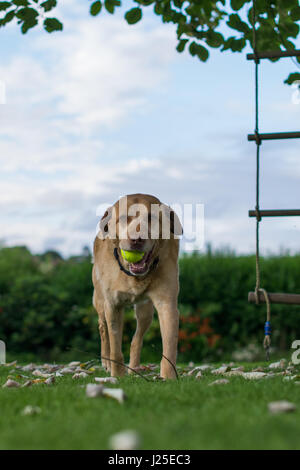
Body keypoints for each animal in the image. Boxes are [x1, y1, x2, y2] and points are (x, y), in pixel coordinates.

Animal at [91, 193, 182, 380]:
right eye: (123, 218)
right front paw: (117, 374)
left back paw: (134, 367)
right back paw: (106, 362)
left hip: (145, 311)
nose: (136, 240)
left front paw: (168, 376)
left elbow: (169, 345)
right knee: (103, 330)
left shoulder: (167, 304)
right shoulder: (113, 305)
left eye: (152, 218)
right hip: (100, 302)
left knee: (137, 339)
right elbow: (115, 346)